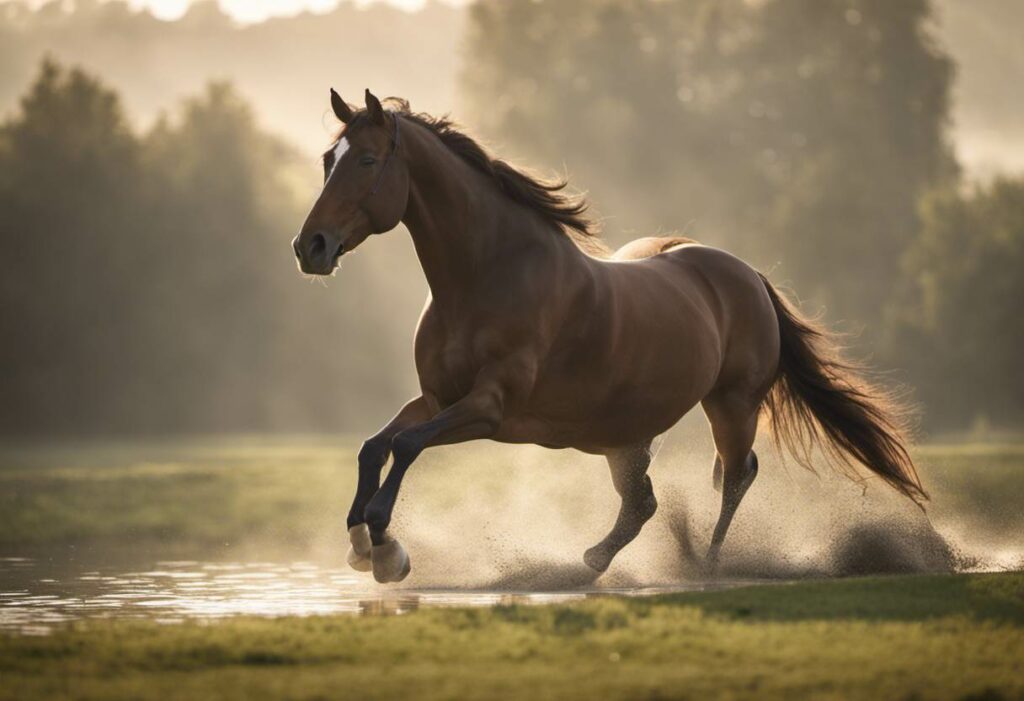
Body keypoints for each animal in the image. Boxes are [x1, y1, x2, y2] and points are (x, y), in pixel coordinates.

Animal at [290, 89, 929, 585]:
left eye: (367, 160)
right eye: (328, 159)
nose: (310, 247)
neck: (485, 276)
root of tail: (748, 275)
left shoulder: (488, 408)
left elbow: (405, 445)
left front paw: (386, 550)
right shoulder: (438, 399)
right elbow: (374, 445)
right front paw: (361, 544)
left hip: (731, 404)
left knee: (735, 476)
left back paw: (706, 564)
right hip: (623, 436)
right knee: (643, 502)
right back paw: (594, 560)